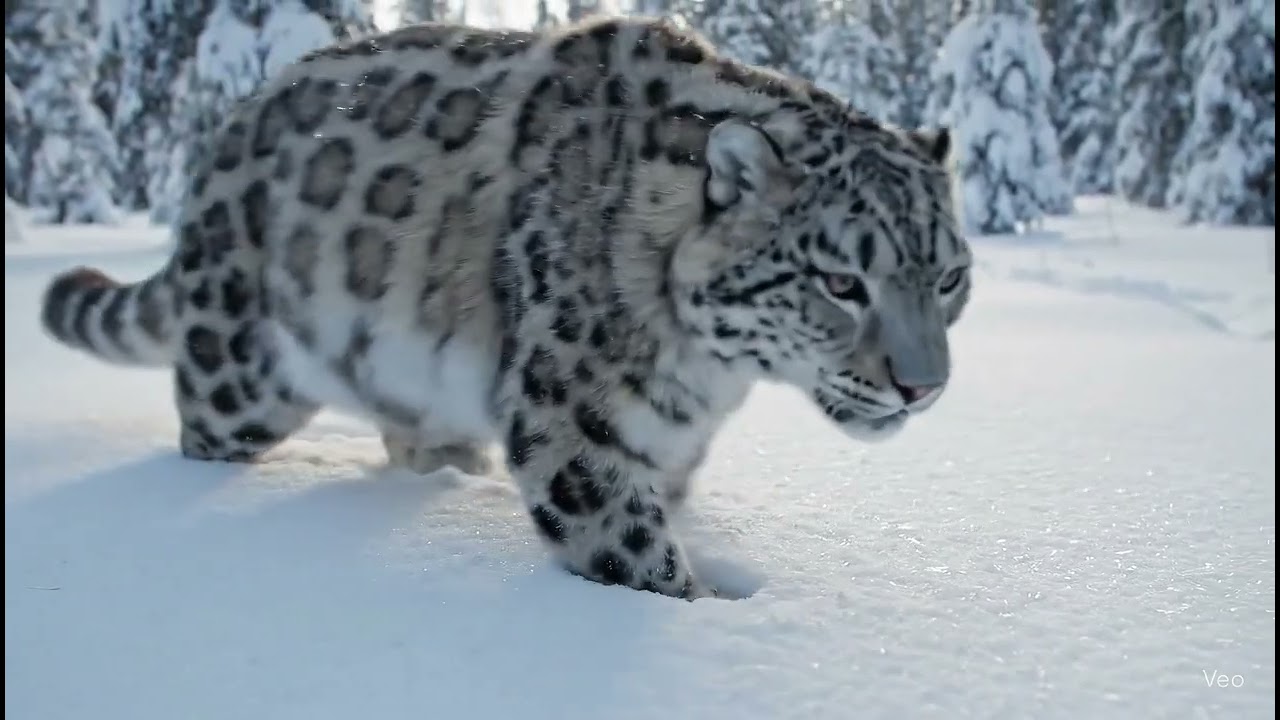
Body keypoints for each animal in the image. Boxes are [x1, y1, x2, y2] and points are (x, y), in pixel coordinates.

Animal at [38, 16, 973, 600]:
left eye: (950, 277)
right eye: (842, 282)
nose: (921, 386)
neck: (708, 374)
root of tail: (224, 136)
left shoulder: (669, 439)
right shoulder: (576, 422)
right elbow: (635, 556)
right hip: (240, 374)